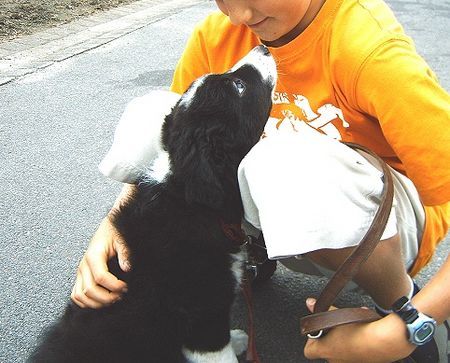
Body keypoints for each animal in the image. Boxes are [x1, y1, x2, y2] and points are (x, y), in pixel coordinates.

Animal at [29, 46, 276, 363]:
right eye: (239, 86)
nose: (263, 48)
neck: (188, 198)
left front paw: (237, 339)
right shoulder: (202, 310)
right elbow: (218, 352)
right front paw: (235, 342)